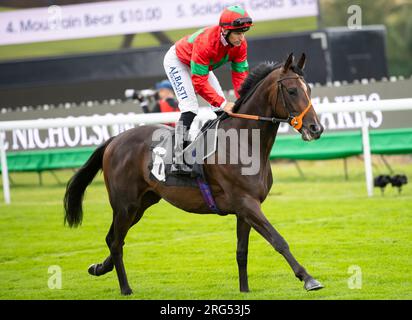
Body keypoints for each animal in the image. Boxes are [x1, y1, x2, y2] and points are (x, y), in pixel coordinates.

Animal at [62, 53, 324, 296]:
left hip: (142, 203)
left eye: (309, 89)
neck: (244, 142)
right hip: (125, 204)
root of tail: (115, 139)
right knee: (116, 242)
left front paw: (244, 289)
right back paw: (125, 288)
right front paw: (308, 278)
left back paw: (99, 267)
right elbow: (278, 240)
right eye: (292, 90)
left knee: (113, 238)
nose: (316, 128)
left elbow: (242, 251)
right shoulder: (247, 203)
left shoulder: (245, 209)